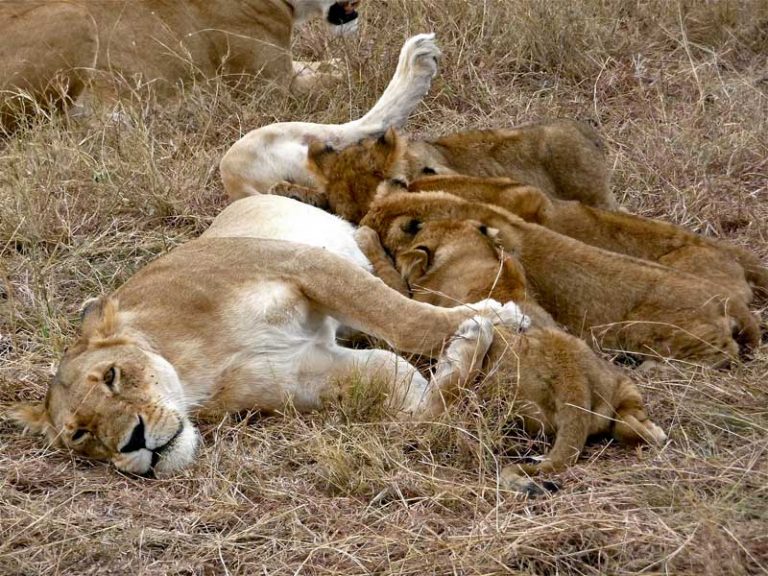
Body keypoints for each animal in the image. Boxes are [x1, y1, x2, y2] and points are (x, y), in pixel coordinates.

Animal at [11, 203, 530, 477]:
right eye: (80, 435)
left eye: (113, 376)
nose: (133, 441)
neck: (194, 369)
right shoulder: (304, 371)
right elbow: (420, 408)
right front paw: (467, 346)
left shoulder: (300, 263)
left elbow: (403, 319)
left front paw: (495, 315)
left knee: (373, 254)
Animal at [354, 220, 667, 485]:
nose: (412, 223)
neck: (469, 253)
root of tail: (573, 379)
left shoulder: (416, 296)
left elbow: (390, 280)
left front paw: (366, 237)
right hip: (621, 384)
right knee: (631, 427)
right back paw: (656, 433)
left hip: (491, 392)